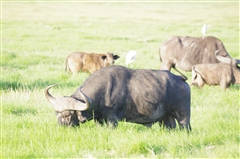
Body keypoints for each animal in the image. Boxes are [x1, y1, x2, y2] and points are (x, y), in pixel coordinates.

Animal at [44, 65, 191, 130]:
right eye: (56, 114)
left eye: (67, 115)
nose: (60, 128)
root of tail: (181, 79)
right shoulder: (99, 119)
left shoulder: (112, 119)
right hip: (166, 117)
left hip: (183, 115)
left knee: (185, 127)